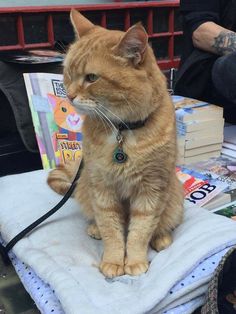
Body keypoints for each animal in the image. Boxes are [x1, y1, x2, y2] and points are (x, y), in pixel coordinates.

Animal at [47, 10, 184, 278]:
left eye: (91, 78)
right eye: (68, 74)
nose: (69, 95)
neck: (122, 131)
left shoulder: (151, 190)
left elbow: (140, 231)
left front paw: (135, 261)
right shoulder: (102, 189)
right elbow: (111, 229)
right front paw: (113, 260)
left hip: (174, 198)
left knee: (162, 225)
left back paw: (161, 238)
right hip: (85, 187)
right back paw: (95, 229)